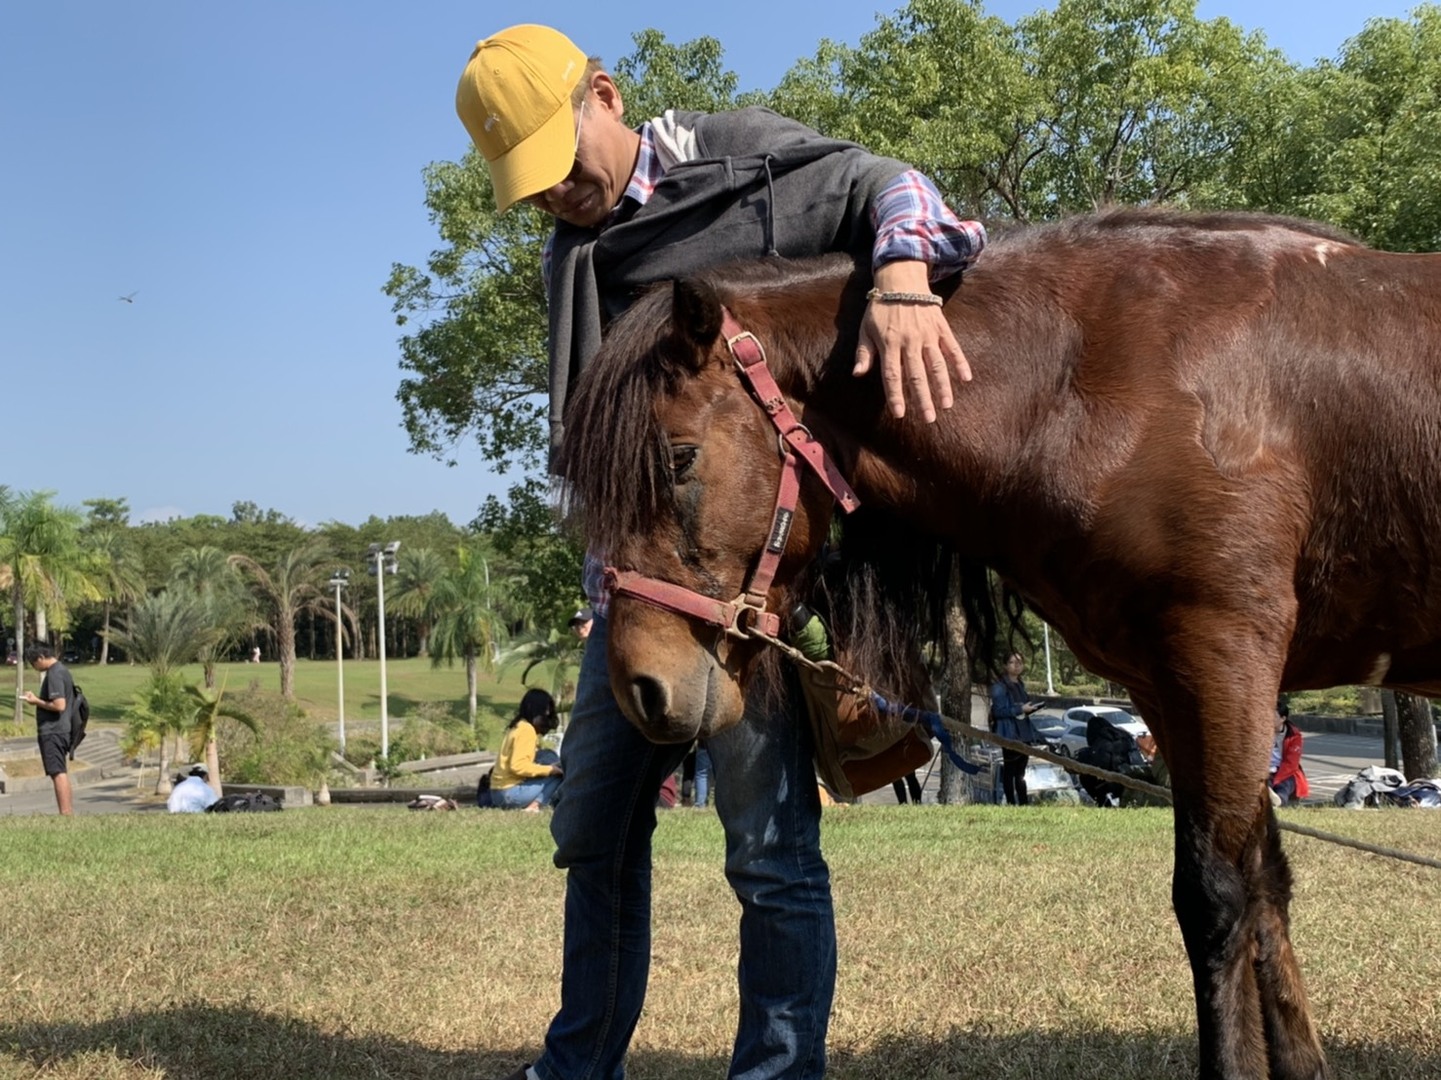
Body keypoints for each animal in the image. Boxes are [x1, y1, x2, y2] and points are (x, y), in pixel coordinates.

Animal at [555, 207, 1441, 1080]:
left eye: (678, 460)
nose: (639, 686)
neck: (1104, 373)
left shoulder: (1222, 657)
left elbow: (1220, 895)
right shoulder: (1174, 687)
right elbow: (1265, 888)